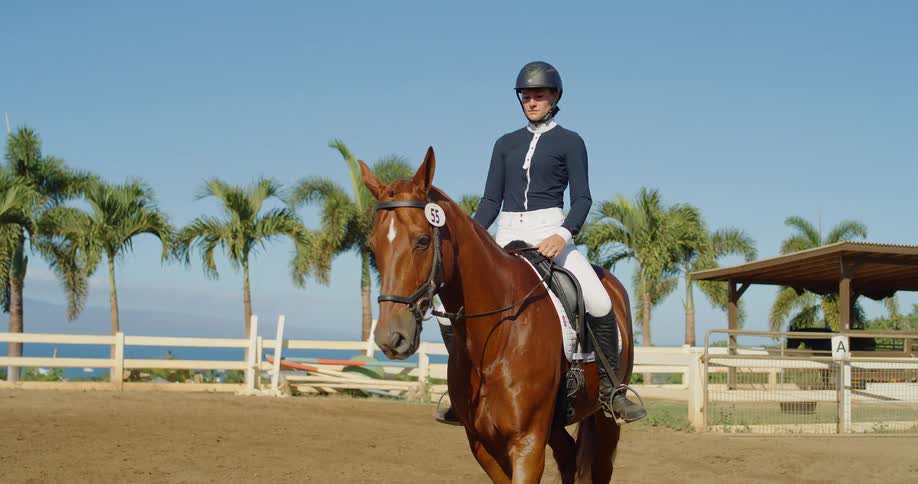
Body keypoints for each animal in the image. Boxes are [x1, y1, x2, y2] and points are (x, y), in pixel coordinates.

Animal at [359, 147, 634, 483]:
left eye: (422, 241)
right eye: (372, 246)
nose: (391, 337)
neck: (495, 338)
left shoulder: (527, 443)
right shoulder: (483, 444)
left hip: (604, 422)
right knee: (568, 457)